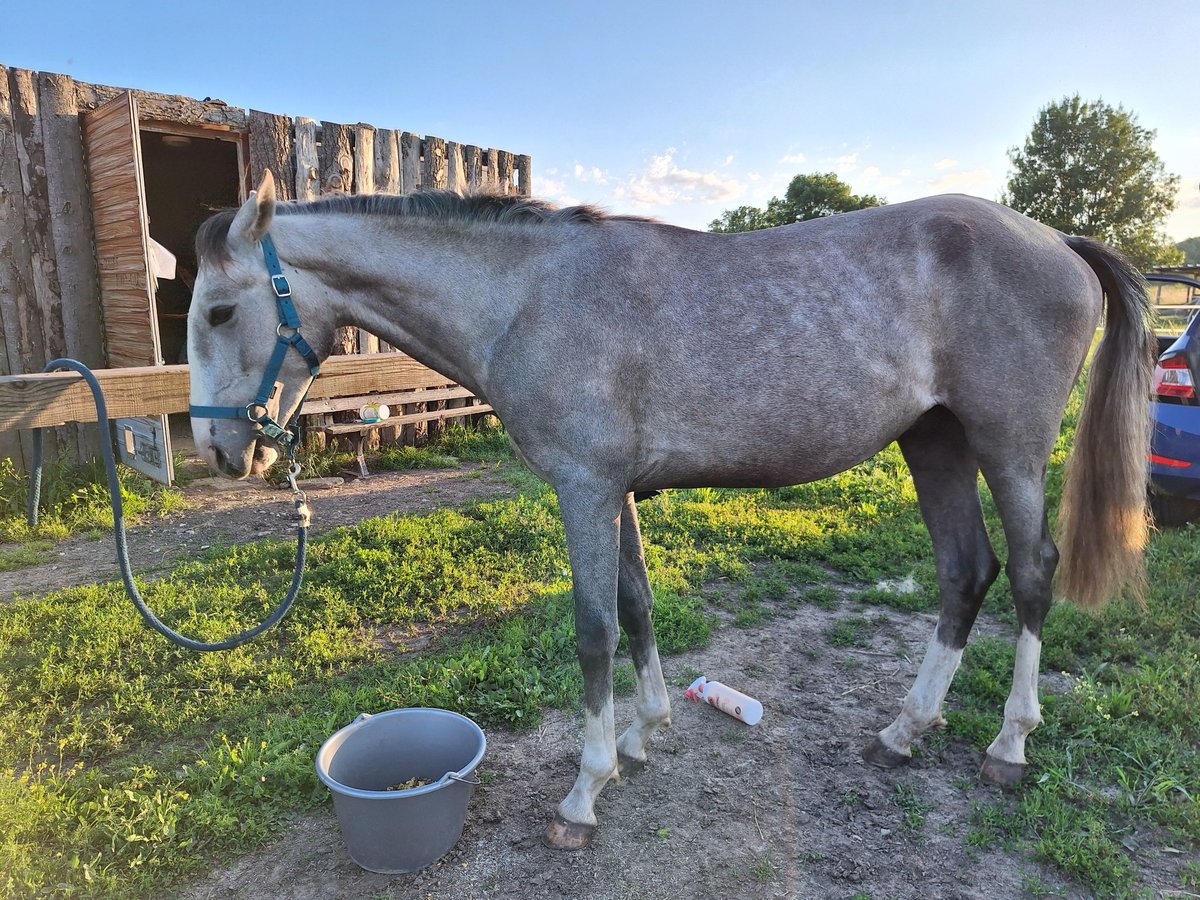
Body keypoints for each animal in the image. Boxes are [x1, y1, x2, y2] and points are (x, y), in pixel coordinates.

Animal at [187, 170, 1152, 854]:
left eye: (222, 310)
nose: (224, 452)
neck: (528, 297)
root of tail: (1059, 241)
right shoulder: (614, 492)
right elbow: (640, 606)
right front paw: (645, 734)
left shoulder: (583, 488)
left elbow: (593, 631)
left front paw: (585, 791)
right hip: (935, 443)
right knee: (965, 572)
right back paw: (904, 731)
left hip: (1009, 448)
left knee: (1028, 575)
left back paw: (1009, 747)